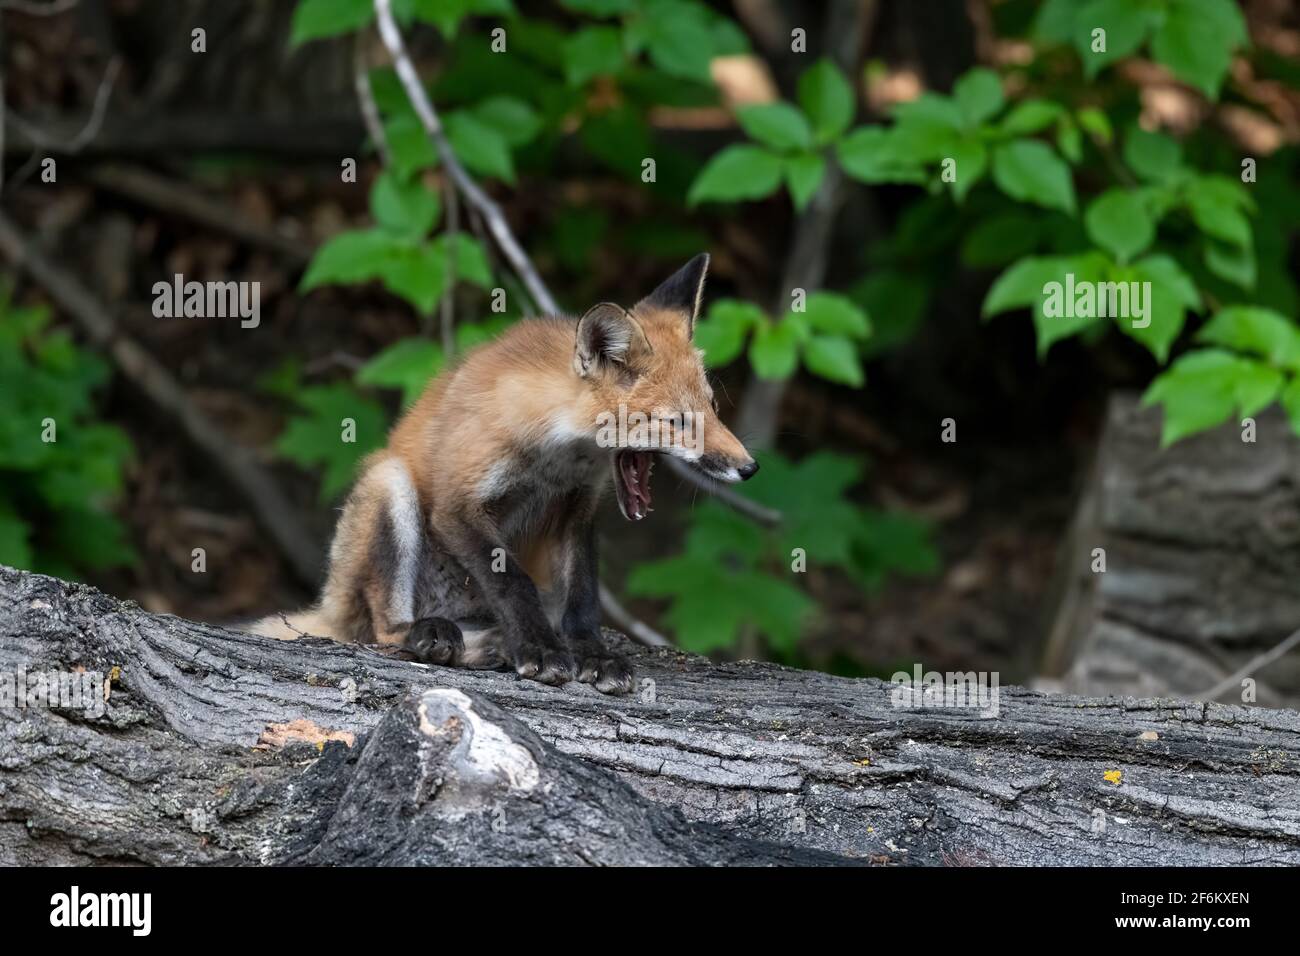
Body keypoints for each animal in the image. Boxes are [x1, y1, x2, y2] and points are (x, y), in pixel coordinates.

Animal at [249, 254, 758, 694]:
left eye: (712, 409)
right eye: (678, 422)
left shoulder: (577, 510)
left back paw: (488, 644)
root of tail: (328, 604)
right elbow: (513, 583)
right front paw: (540, 651)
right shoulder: (458, 504)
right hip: (389, 486)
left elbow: (584, 598)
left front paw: (593, 655)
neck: (557, 451)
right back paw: (443, 638)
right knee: (381, 632)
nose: (749, 467)